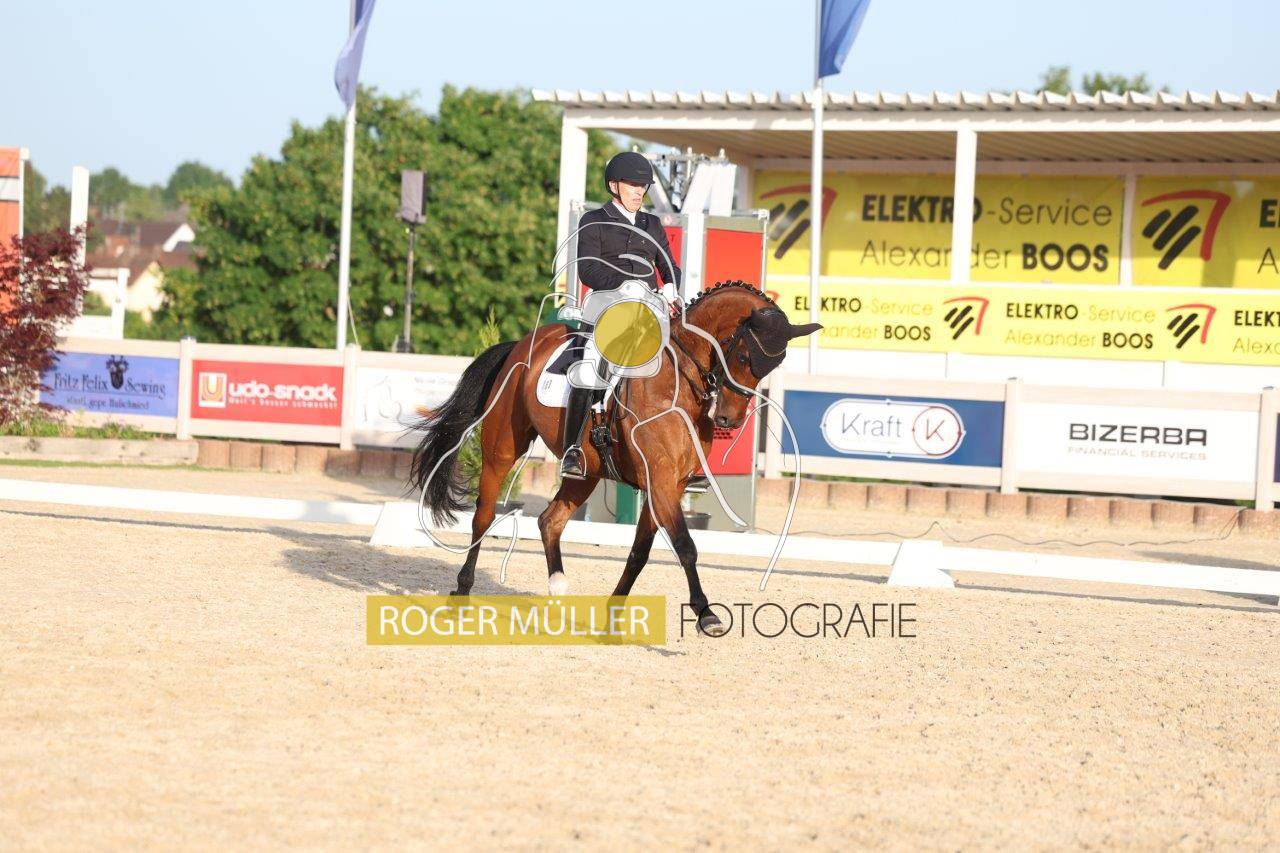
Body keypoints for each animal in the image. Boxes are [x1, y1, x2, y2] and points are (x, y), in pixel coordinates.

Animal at [409, 281, 821, 636]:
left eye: (773, 366)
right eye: (743, 354)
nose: (728, 420)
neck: (677, 380)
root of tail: (522, 344)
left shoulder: (667, 485)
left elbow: (640, 553)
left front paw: (613, 618)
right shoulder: (659, 480)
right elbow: (686, 546)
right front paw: (707, 614)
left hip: (586, 472)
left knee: (549, 521)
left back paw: (557, 592)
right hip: (502, 449)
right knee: (483, 517)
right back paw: (461, 594)